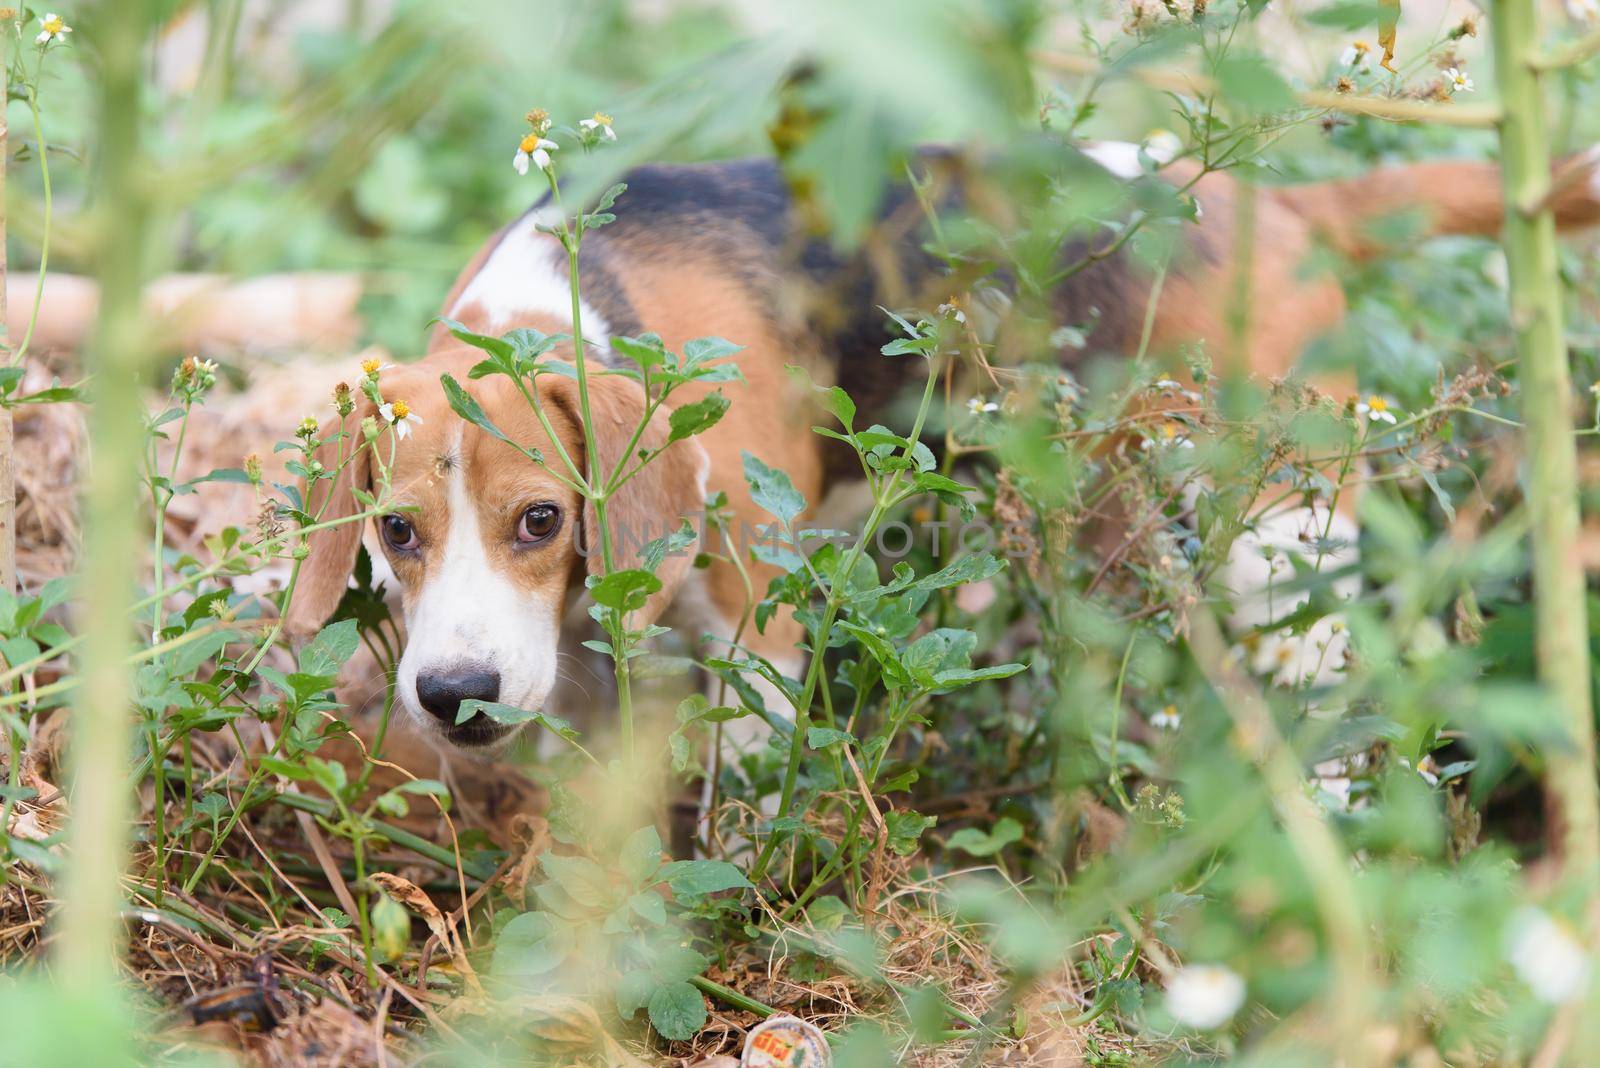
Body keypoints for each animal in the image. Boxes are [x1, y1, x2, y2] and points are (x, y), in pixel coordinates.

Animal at [281, 146, 1600, 754]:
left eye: (543, 519)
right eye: (395, 531)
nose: (453, 698)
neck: (578, 304)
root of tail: (1275, 209)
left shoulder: (756, 629)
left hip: (1278, 537)